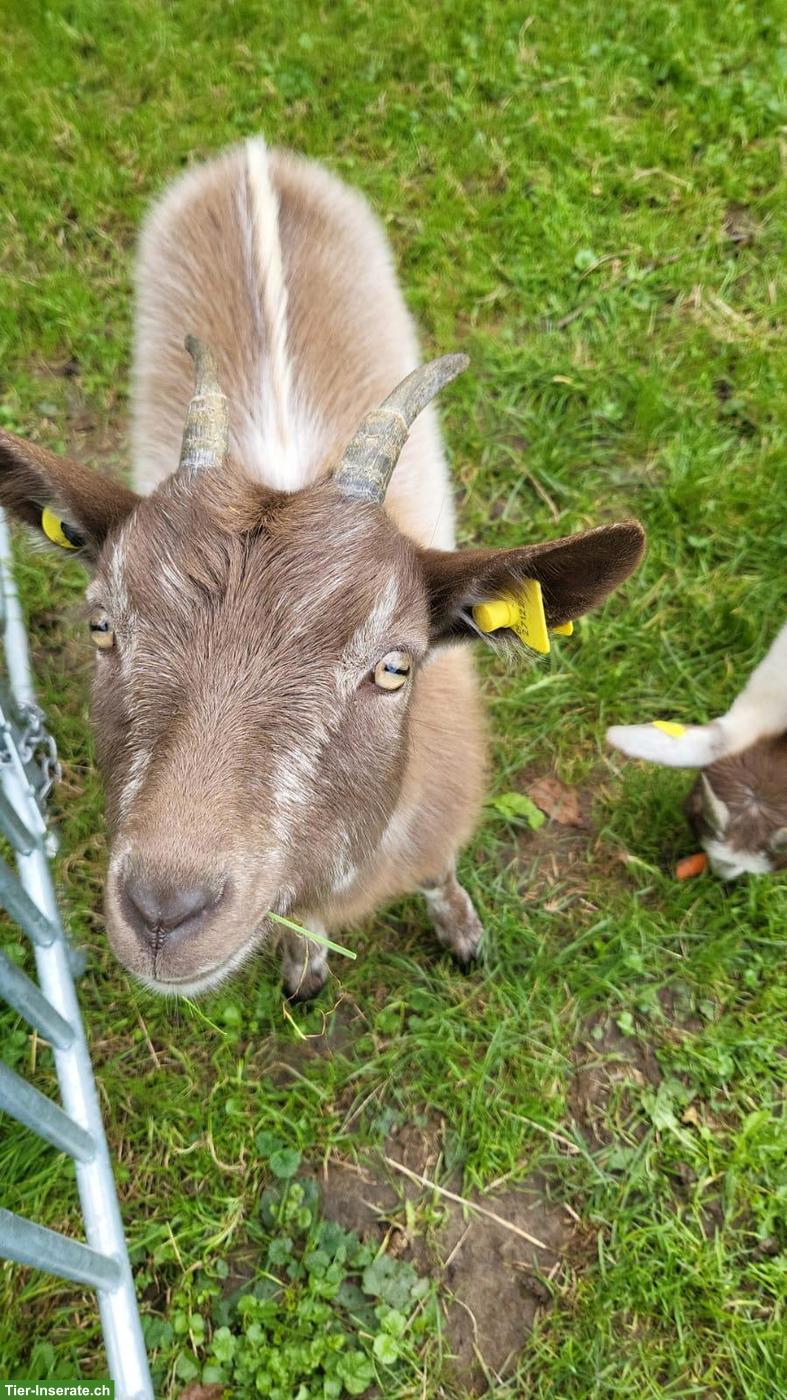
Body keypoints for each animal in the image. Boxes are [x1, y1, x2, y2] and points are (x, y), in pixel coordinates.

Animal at [0, 138, 645, 998]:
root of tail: (253, 151)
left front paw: (461, 929)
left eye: (394, 668)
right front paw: (304, 960)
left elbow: (437, 871)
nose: (165, 912)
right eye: (102, 625)